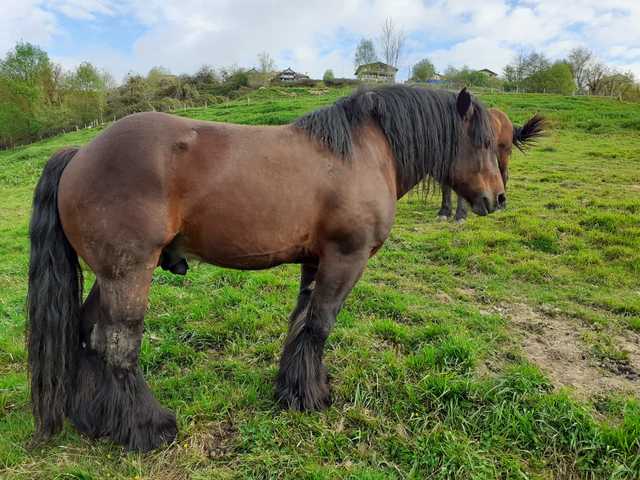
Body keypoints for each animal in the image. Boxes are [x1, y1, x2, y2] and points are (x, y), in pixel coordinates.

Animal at [27, 85, 506, 452]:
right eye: (483, 143)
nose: (498, 199)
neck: (362, 154)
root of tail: (80, 153)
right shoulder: (345, 259)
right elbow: (320, 326)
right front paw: (311, 396)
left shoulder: (314, 262)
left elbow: (301, 323)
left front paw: (294, 388)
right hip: (129, 274)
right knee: (119, 347)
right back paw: (149, 428)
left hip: (107, 277)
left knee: (87, 334)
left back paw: (94, 419)